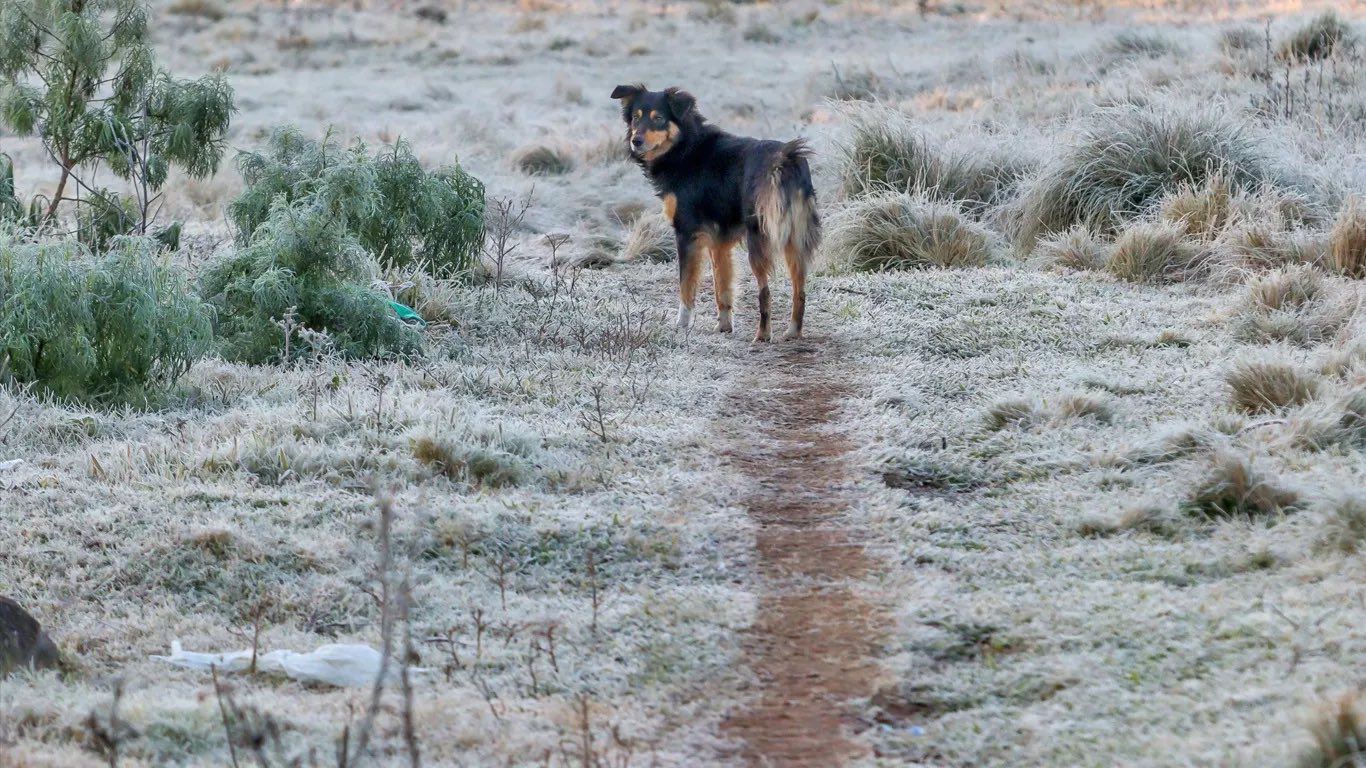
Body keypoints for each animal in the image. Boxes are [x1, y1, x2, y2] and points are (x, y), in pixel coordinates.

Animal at [611, 81, 819, 340]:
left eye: (658, 118)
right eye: (636, 118)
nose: (635, 140)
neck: (685, 148)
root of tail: (785, 159)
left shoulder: (687, 232)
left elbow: (686, 285)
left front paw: (682, 325)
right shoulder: (719, 241)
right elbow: (722, 287)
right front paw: (724, 327)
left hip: (759, 238)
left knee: (765, 291)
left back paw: (762, 335)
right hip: (796, 238)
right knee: (800, 290)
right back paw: (793, 332)